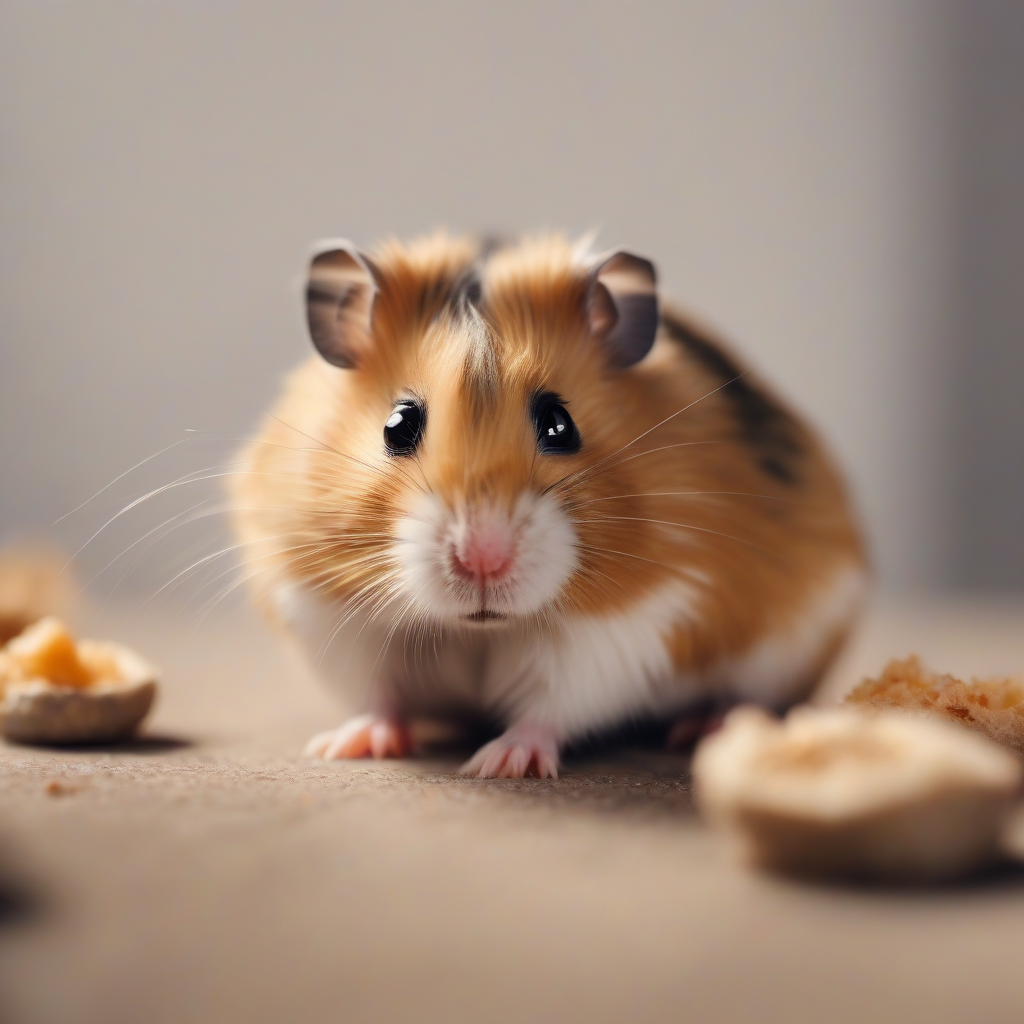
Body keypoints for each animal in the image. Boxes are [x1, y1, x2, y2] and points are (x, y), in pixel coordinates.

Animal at [231, 232, 867, 778]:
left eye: (561, 424)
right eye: (398, 424)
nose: (483, 560)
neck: (479, 631)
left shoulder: (628, 627)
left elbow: (553, 704)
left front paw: (497, 764)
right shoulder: (334, 620)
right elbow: (380, 693)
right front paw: (343, 746)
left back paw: (706, 726)